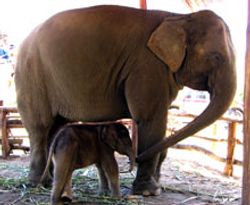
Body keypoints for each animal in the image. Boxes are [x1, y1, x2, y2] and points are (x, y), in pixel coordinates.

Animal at [14, 5, 237, 196]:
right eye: (216, 57)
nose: (135, 159)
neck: (179, 17)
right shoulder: (147, 66)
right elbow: (151, 119)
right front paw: (148, 192)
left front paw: (156, 187)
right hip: (31, 77)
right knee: (40, 128)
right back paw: (37, 184)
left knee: (55, 127)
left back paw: (48, 181)